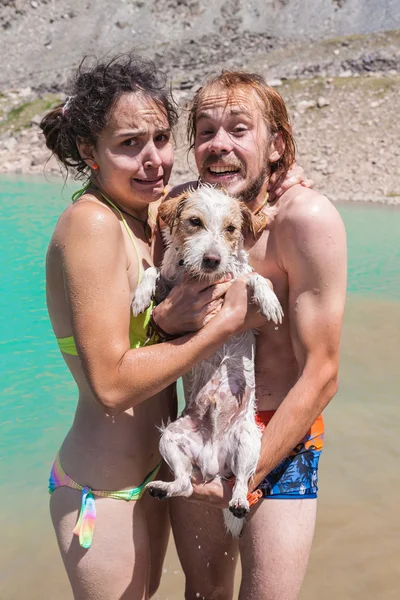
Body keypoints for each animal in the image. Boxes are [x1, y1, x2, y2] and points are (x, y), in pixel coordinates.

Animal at [133, 186, 282, 536]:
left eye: (231, 228)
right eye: (194, 222)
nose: (212, 260)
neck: (202, 277)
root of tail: (213, 461)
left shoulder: (238, 277)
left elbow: (255, 278)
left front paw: (270, 301)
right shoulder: (169, 284)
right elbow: (153, 271)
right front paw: (141, 295)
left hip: (247, 441)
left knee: (241, 482)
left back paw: (238, 501)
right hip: (171, 439)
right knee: (185, 483)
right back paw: (163, 488)